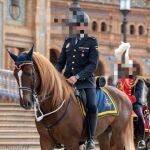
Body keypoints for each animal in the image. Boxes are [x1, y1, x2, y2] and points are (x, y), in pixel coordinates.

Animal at [7, 47, 135, 150]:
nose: (25, 103)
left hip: (118, 135)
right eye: (15, 74)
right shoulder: (45, 141)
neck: (53, 105)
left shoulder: (72, 142)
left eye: (29, 73)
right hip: (104, 134)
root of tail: (123, 95)